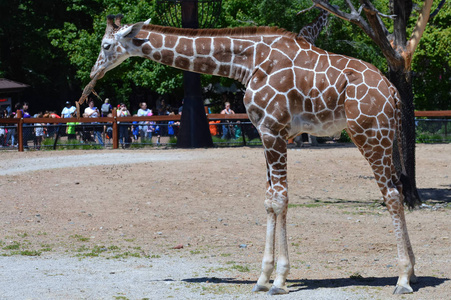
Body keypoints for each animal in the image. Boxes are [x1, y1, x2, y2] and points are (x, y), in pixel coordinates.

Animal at [89, 15, 420, 294]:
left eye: (106, 45)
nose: (94, 72)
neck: (247, 63)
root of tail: (392, 91)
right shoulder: (265, 133)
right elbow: (269, 201)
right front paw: (263, 278)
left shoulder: (274, 130)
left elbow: (280, 199)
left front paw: (280, 280)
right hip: (385, 137)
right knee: (399, 187)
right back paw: (414, 271)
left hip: (369, 134)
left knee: (391, 194)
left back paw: (402, 278)